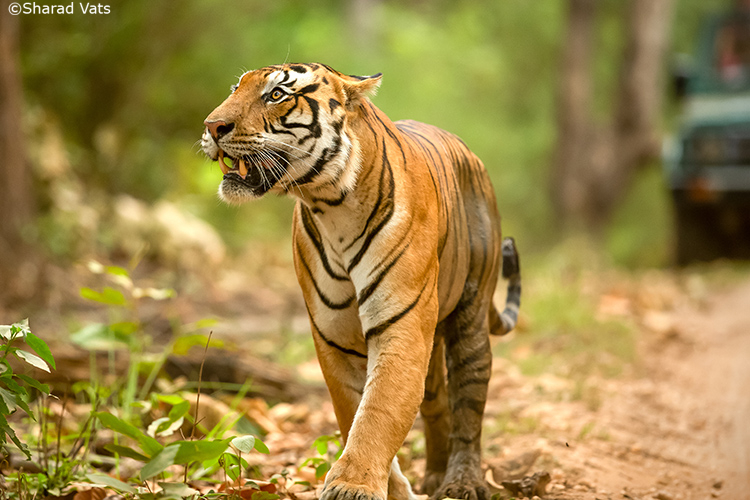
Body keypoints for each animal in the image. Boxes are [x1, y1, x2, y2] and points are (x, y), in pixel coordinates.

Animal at [204, 62, 524, 500]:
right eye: (236, 88)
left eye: (276, 95)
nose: (212, 125)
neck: (330, 203)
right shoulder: (335, 335)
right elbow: (353, 409)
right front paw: (391, 488)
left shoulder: (401, 325)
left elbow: (379, 410)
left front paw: (352, 484)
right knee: (436, 401)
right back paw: (433, 476)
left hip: (470, 318)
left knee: (468, 405)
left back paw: (462, 482)